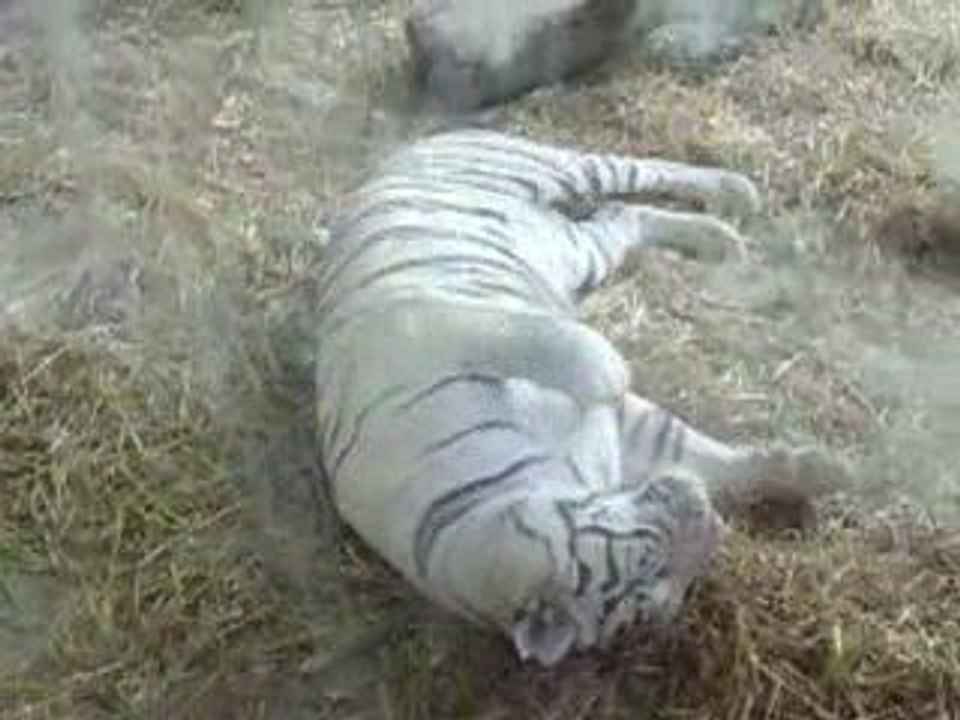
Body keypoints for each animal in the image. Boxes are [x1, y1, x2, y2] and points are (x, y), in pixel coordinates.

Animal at [314, 129, 848, 666]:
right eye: (661, 573)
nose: (710, 524)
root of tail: (401, 153)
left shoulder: (427, 327)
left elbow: (589, 361)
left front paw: (825, 471)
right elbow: (698, 454)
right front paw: (814, 472)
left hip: (555, 169)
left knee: (639, 177)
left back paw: (734, 199)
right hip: (581, 249)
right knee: (621, 217)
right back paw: (719, 238)